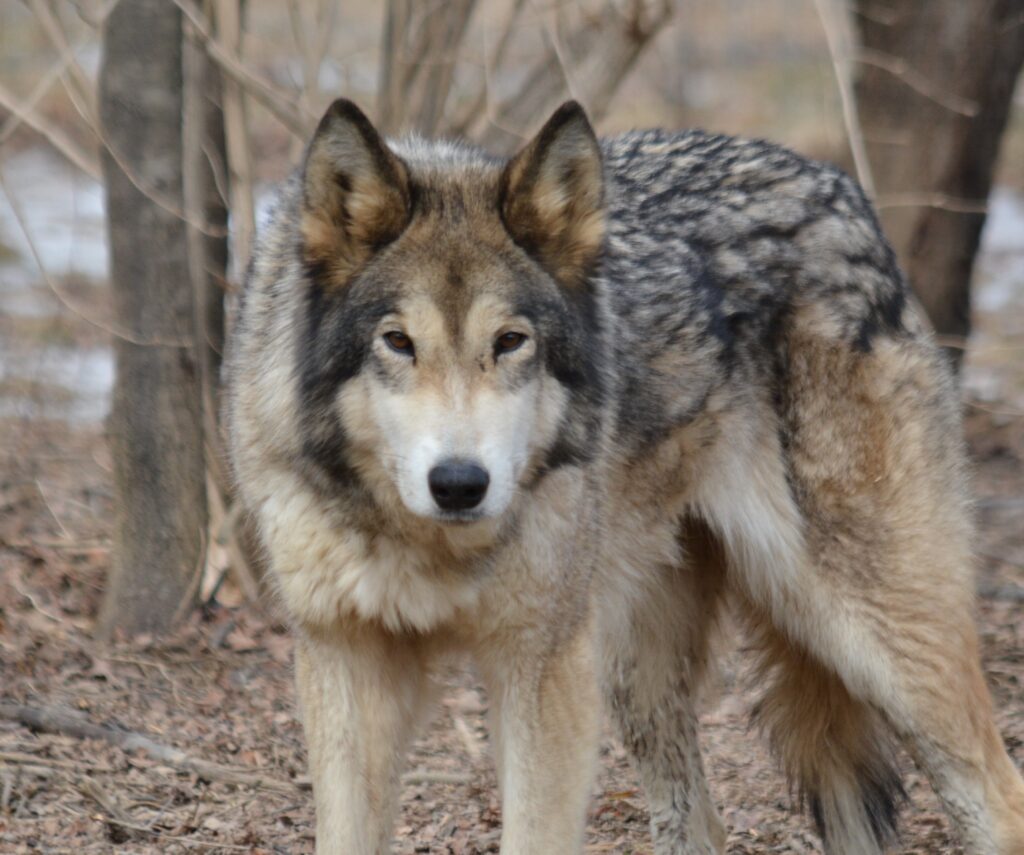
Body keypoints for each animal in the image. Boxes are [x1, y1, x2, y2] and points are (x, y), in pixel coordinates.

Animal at [225, 98, 1024, 854]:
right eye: (397, 341)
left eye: (510, 342)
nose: (458, 483)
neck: (429, 547)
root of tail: (842, 191)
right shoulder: (345, 663)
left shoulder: (543, 668)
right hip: (633, 670)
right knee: (703, 828)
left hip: (870, 637)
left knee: (1001, 803)